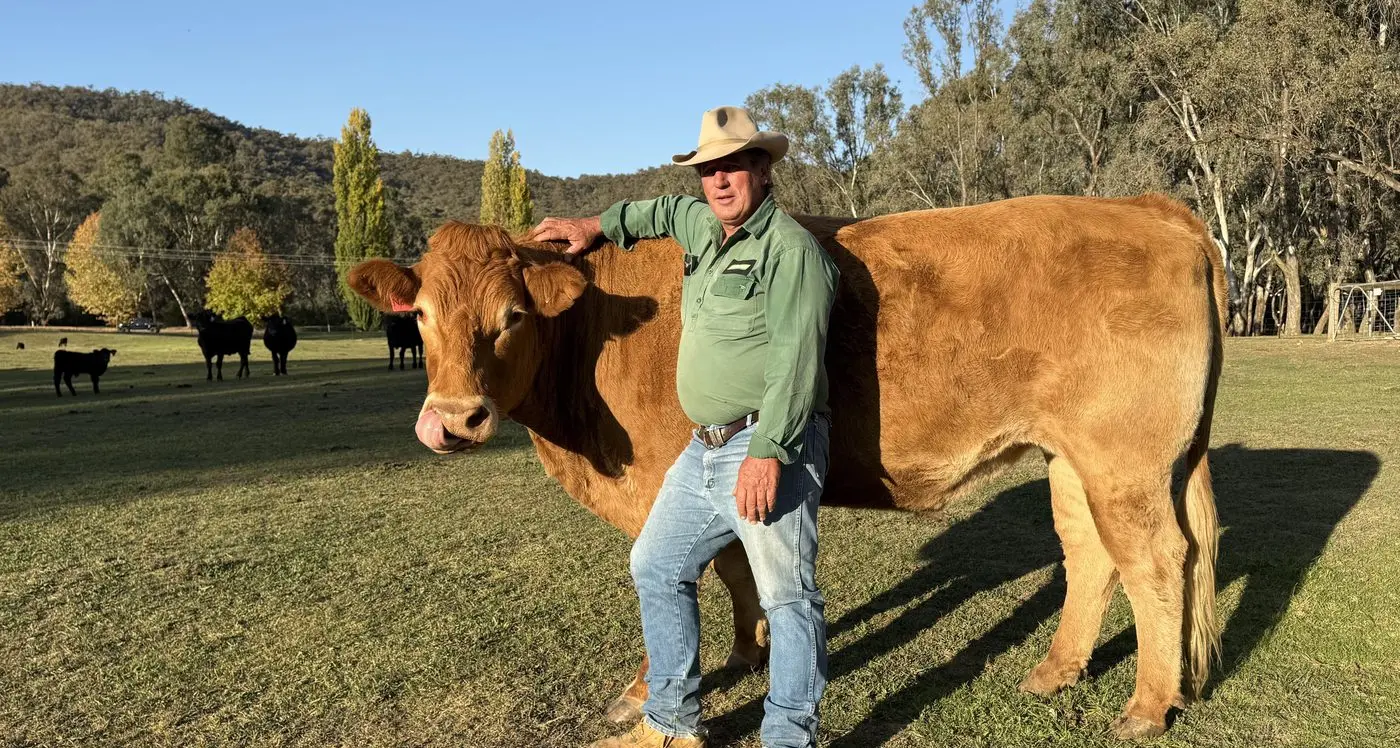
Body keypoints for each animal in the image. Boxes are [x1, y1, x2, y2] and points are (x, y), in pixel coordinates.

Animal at [347, 193, 1226, 740]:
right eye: (419, 316)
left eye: (512, 316)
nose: (453, 420)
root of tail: (1145, 206)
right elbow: (735, 567)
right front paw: (749, 651)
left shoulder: (660, 488)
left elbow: (675, 586)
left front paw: (646, 692)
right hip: (1072, 460)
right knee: (1091, 556)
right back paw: (1055, 671)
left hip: (1125, 460)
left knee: (1157, 562)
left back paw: (1148, 706)